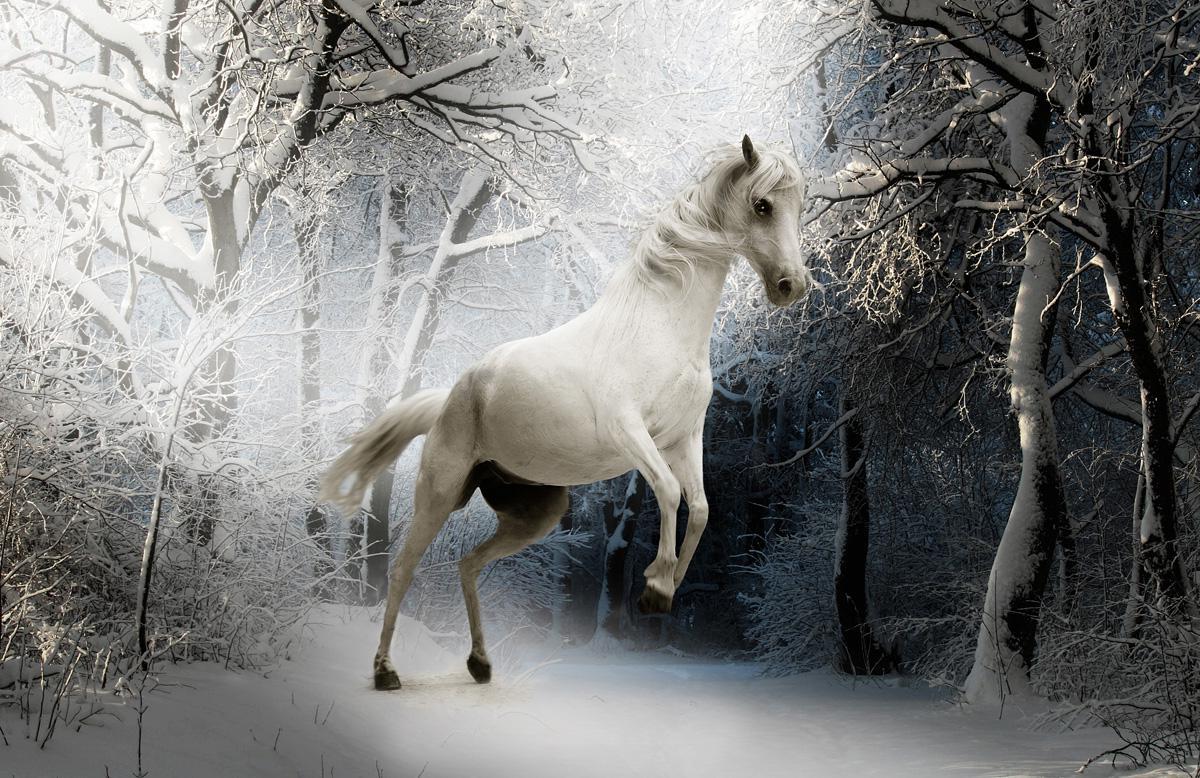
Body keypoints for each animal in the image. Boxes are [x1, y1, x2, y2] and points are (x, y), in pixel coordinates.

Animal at [321, 135, 809, 690]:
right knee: (403, 568)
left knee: (468, 564)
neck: (659, 327)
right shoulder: (630, 432)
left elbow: (702, 508)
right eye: (762, 205)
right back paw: (386, 671)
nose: (792, 286)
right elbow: (668, 492)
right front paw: (655, 585)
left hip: (537, 513)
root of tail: (452, 396)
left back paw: (480, 664)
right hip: (439, 492)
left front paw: (663, 590)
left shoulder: (683, 438)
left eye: (800, 206)